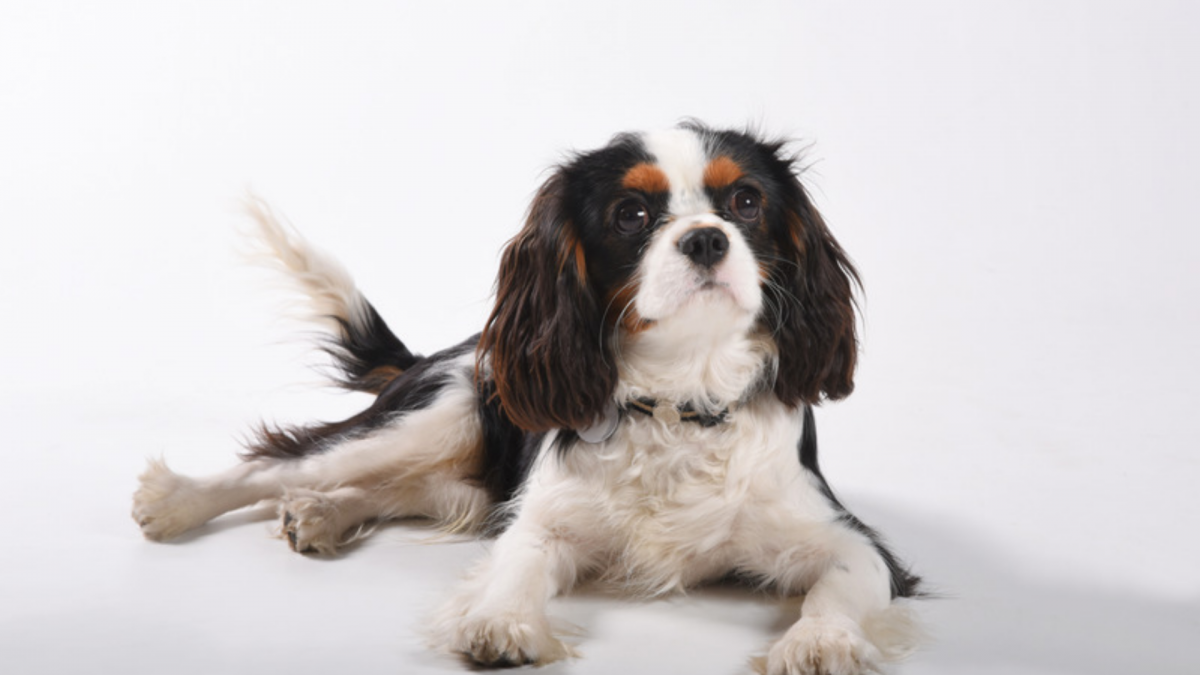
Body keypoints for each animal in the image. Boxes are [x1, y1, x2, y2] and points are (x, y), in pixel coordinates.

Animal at [136, 121, 926, 672]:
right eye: (632, 215)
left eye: (746, 201)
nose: (706, 239)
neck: (680, 400)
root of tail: (435, 355)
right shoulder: (543, 520)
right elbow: (519, 564)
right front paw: (502, 625)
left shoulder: (854, 541)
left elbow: (840, 584)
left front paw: (821, 641)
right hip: (435, 414)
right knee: (284, 461)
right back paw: (178, 500)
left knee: (400, 488)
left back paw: (323, 514)